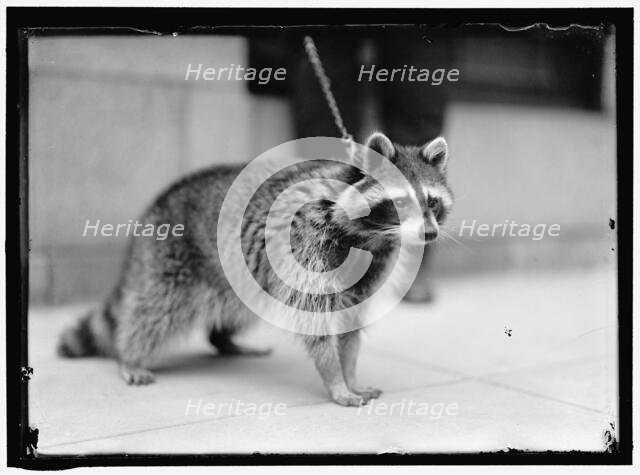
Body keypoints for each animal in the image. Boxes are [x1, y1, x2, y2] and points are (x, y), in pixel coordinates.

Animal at [58, 132, 452, 407]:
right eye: (400, 202)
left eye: (432, 202)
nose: (430, 233)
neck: (367, 236)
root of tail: (159, 201)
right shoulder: (308, 243)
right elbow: (314, 323)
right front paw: (335, 378)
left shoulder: (368, 269)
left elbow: (351, 324)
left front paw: (349, 371)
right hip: (170, 256)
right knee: (156, 308)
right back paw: (130, 355)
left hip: (239, 278)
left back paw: (224, 340)